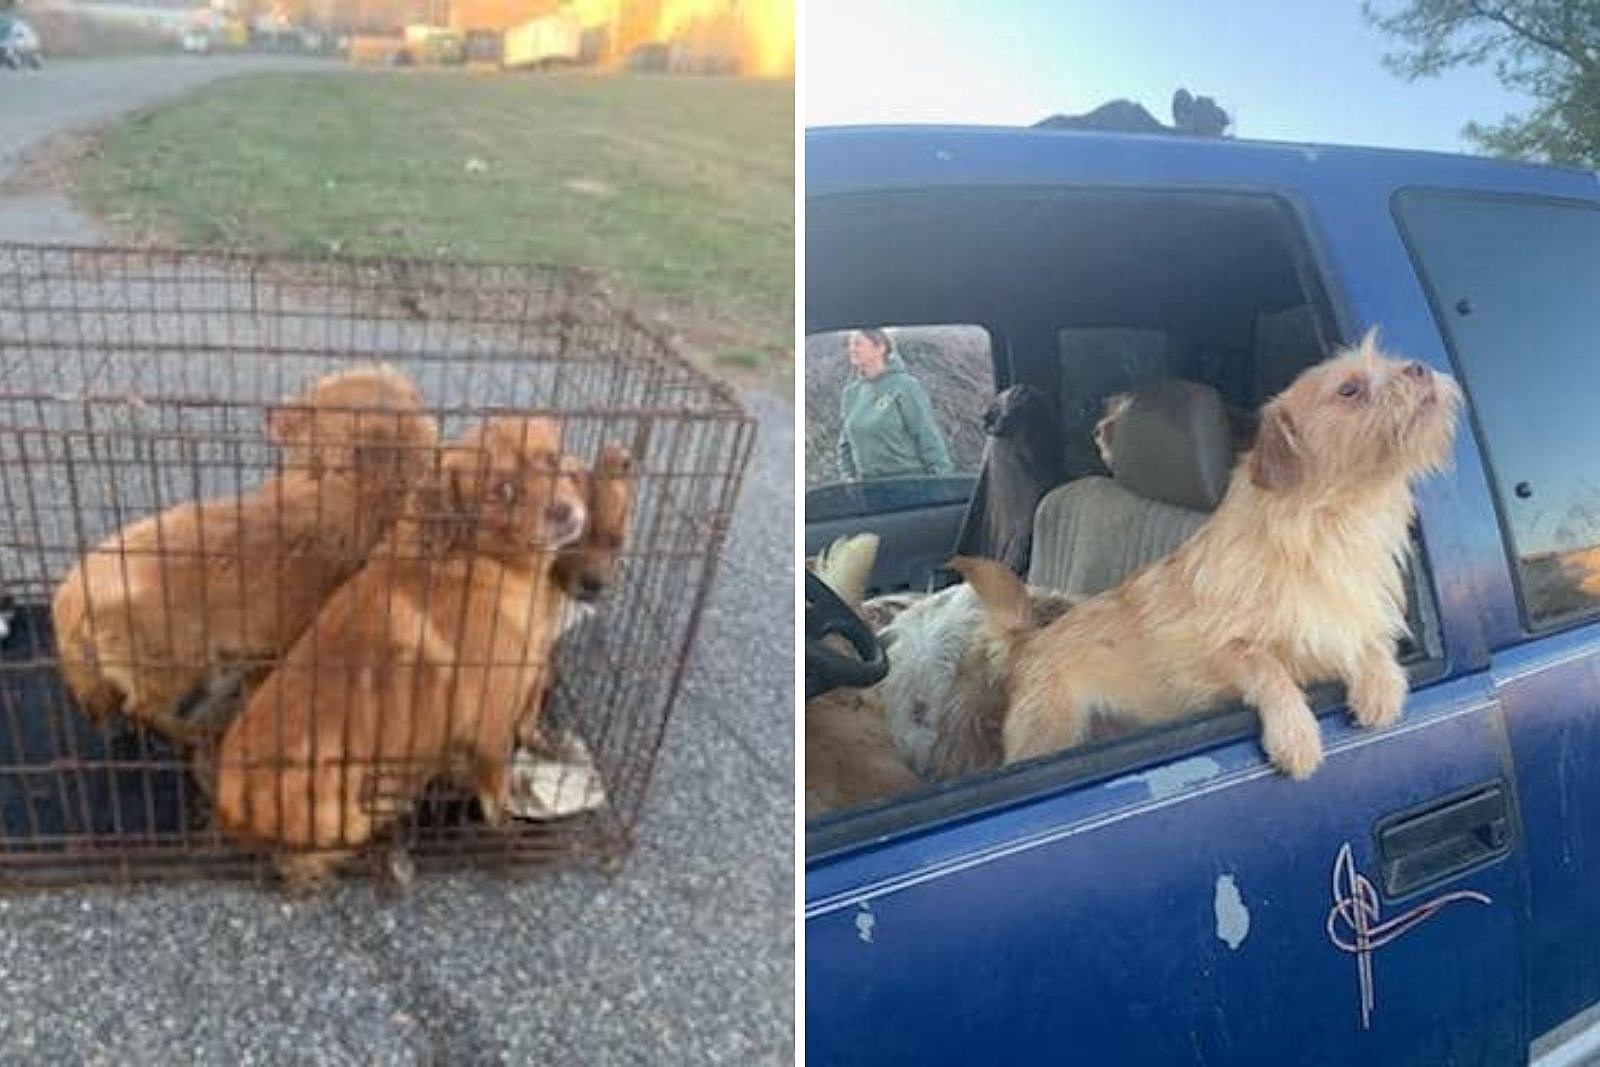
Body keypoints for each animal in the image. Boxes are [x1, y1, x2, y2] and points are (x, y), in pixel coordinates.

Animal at [51, 363, 438, 748]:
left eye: (311, 412)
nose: (268, 411)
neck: (350, 487)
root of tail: (71, 595)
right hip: (177, 664)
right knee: (142, 709)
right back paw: (194, 732)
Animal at [212, 412, 588, 889]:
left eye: (552, 459)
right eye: (502, 490)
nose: (563, 511)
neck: (482, 560)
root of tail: (227, 809)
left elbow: (530, 726)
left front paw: (547, 747)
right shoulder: (491, 725)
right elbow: (496, 799)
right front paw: (509, 833)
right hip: (347, 803)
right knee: (319, 853)